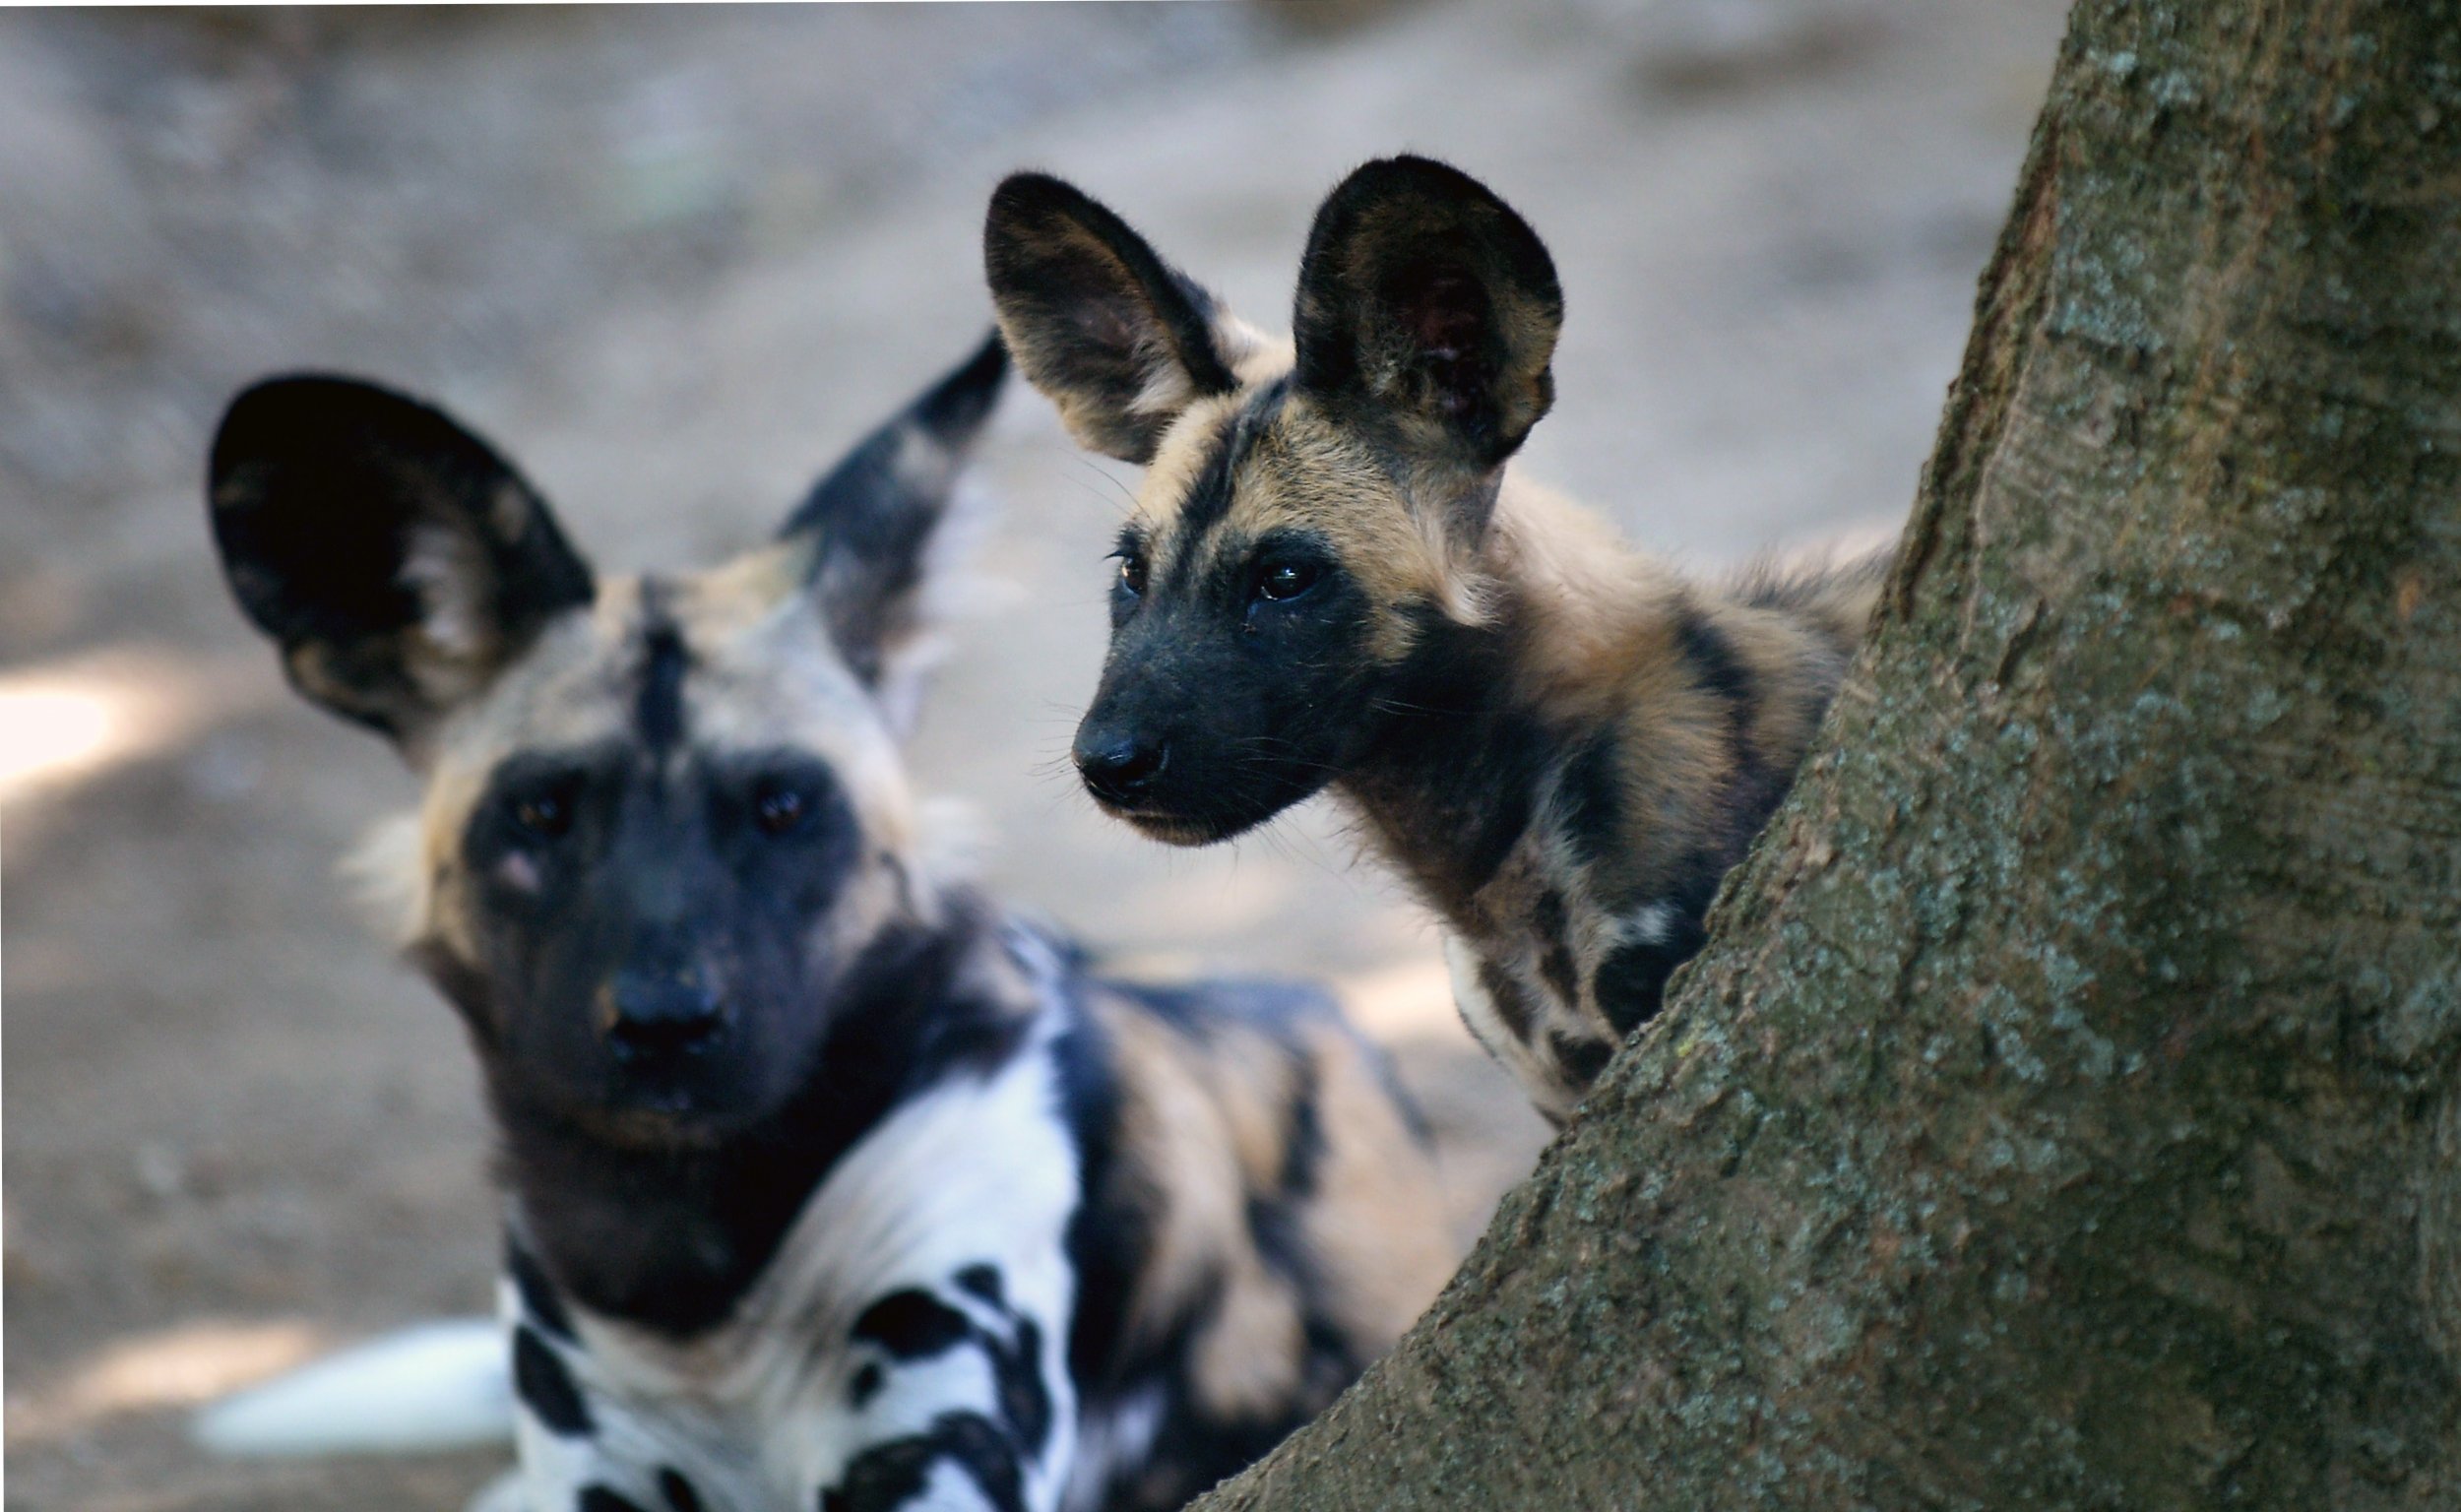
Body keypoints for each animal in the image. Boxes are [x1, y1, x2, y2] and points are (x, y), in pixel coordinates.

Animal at [207, 335, 1457, 1512]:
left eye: (783, 808)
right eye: (543, 812)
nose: (665, 1026)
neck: (696, 1272)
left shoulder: (944, 1450)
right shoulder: (596, 1462)